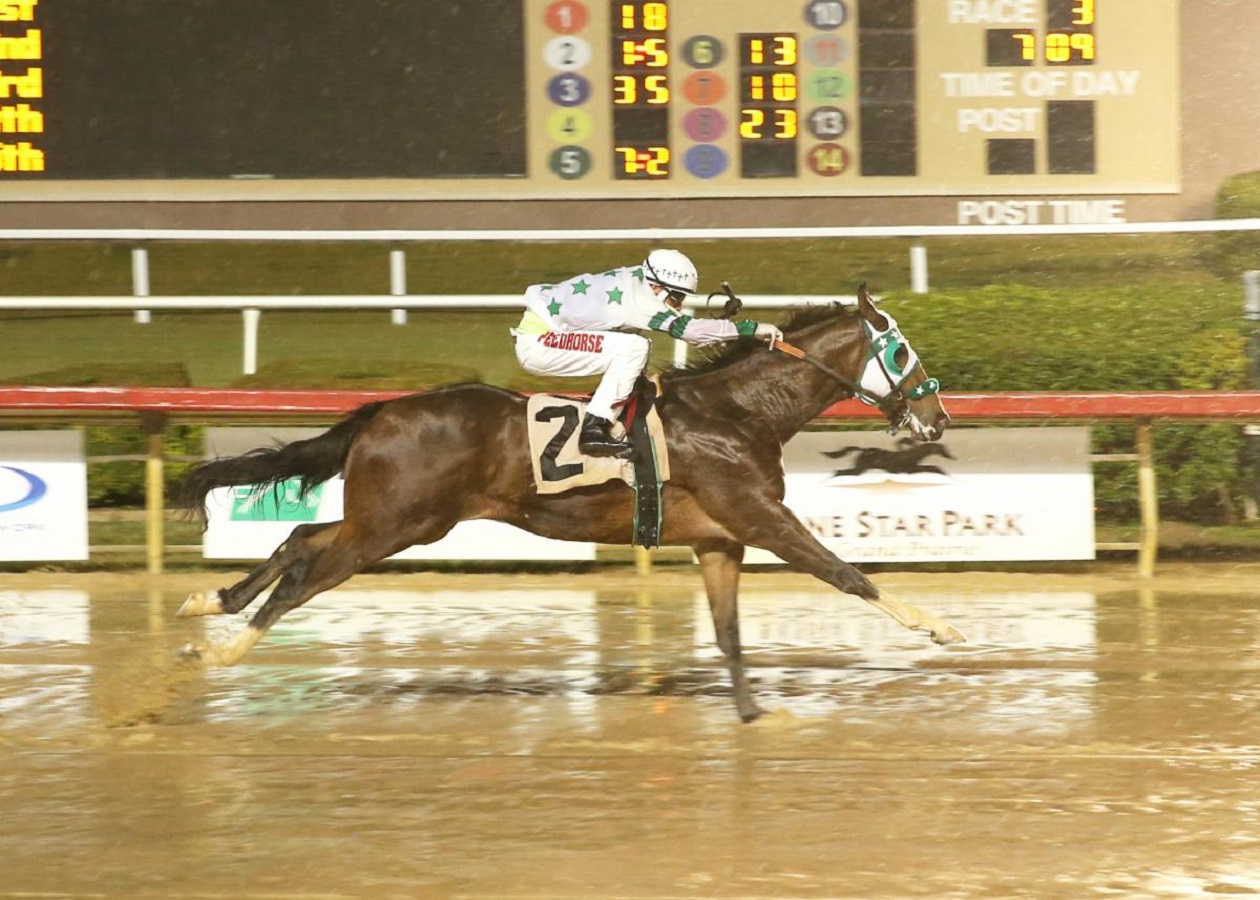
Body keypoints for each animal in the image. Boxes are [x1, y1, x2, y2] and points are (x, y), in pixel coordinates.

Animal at [177, 283, 957, 721]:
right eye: (902, 352)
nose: (938, 417)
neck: (738, 413)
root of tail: (382, 411)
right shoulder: (761, 517)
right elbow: (845, 573)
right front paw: (938, 627)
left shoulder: (719, 538)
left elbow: (730, 633)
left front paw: (751, 716)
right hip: (396, 524)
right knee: (305, 576)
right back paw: (223, 651)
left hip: (398, 518)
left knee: (301, 537)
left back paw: (210, 603)